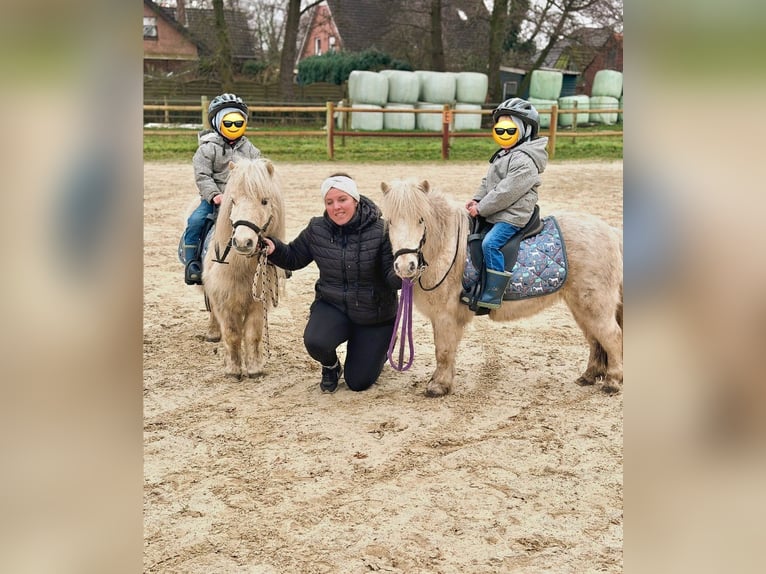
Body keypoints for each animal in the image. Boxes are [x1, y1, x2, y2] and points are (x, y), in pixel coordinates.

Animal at [201, 157, 287, 379]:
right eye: (233, 201)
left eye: (264, 201)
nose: (242, 242)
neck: (241, 267)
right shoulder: (224, 299)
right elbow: (232, 335)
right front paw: (233, 370)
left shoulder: (258, 302)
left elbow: (253, 335)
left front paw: (255, 368)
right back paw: (212, 333)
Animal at [380, 178, 623, 397]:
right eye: (389, 221)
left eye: (421, 220)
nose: (406, 266)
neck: (446, 247)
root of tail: (611, 232)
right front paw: (440, 382)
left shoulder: (446, 316)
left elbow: (443, 350)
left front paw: (438, 387)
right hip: (580, 305)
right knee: (594, 338)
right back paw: (589, 376)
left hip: (594, 304)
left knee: (612, 336)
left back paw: (612, 382)